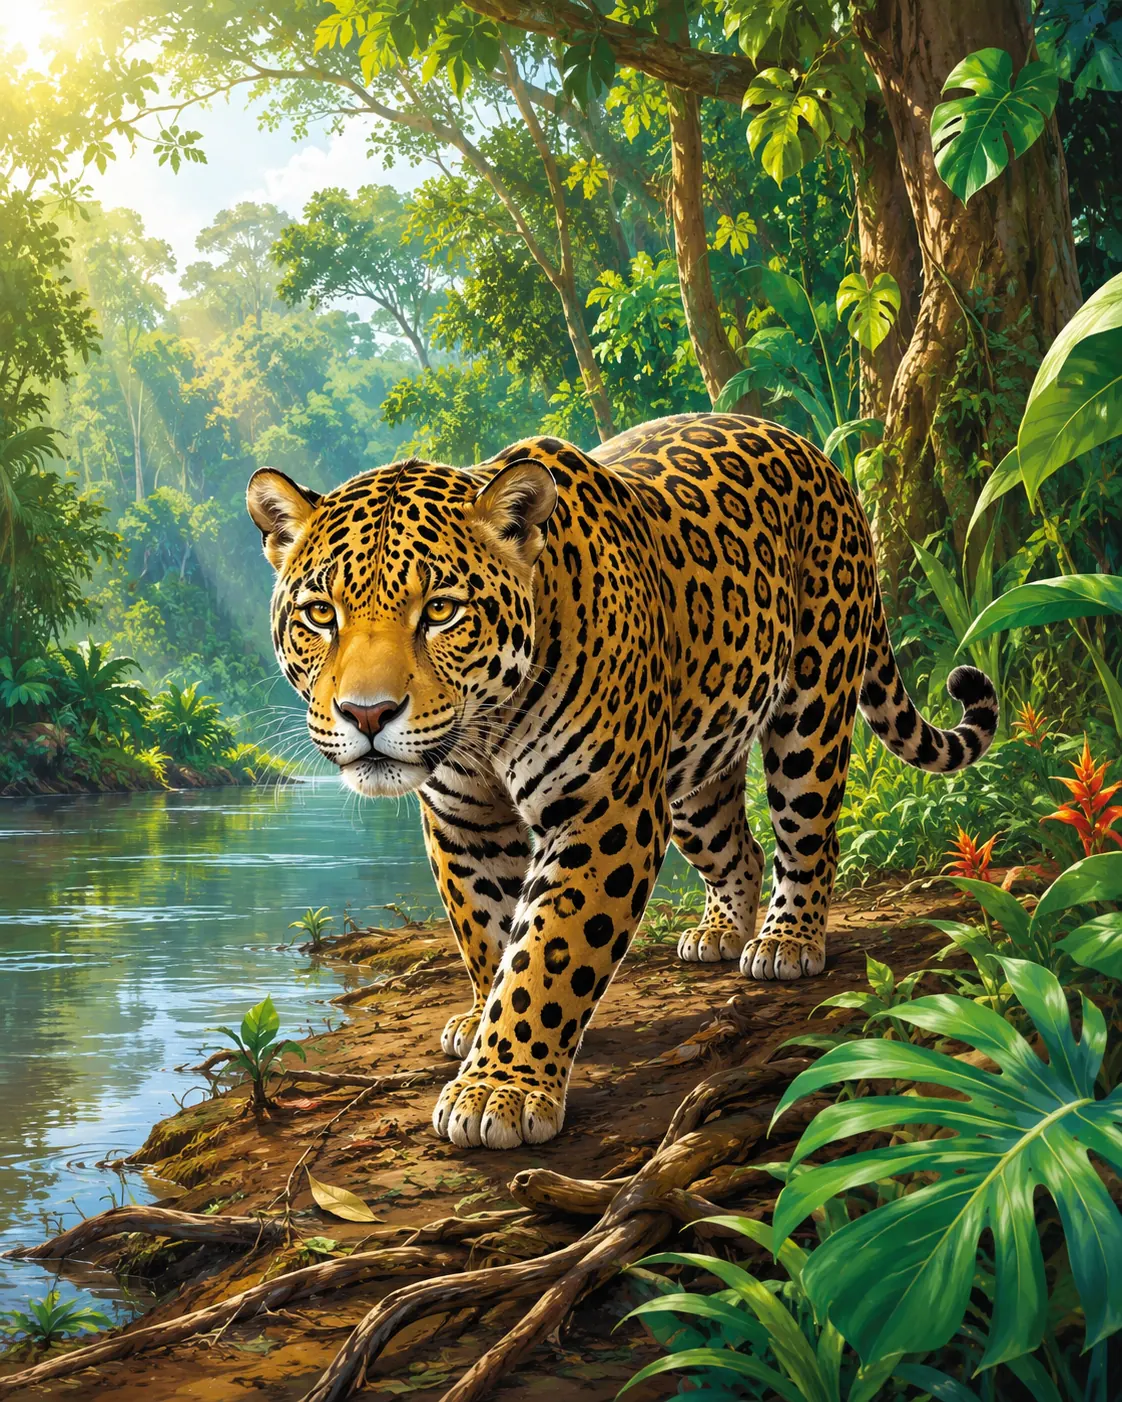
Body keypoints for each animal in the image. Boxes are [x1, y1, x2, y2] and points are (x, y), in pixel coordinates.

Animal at [247, 413, 998, 1151]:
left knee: (807, 834)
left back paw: (786, 941)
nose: (367, 714)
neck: (487, 728)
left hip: (810, 709)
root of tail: (814, 452)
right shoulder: (465, 823)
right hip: (695, 764)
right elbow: (487, 933)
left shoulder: (604, 811)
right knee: (741, 848)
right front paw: (482, 1026)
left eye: (440, 611)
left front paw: (499, 1088)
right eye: (320, 614)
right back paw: (719, 933)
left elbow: (547, 952)